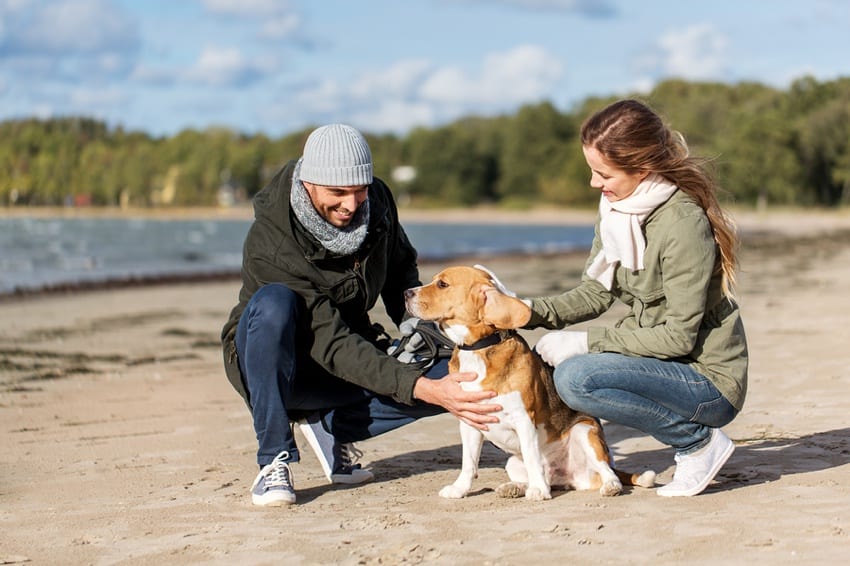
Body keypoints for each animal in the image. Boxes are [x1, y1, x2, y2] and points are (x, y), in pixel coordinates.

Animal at [400, 266, 652, 502]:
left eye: (442, 284)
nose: (406, 293)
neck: (479, 348)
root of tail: (566, 477)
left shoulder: (523, 419)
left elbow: (532, 458)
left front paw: (538, 491)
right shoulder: (469, 420)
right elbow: (468, 462)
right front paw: (459, 489)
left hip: (585, 432)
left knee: (606, 471)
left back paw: (606, 486)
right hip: (512, 461)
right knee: (543, 477)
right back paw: (516, 487)